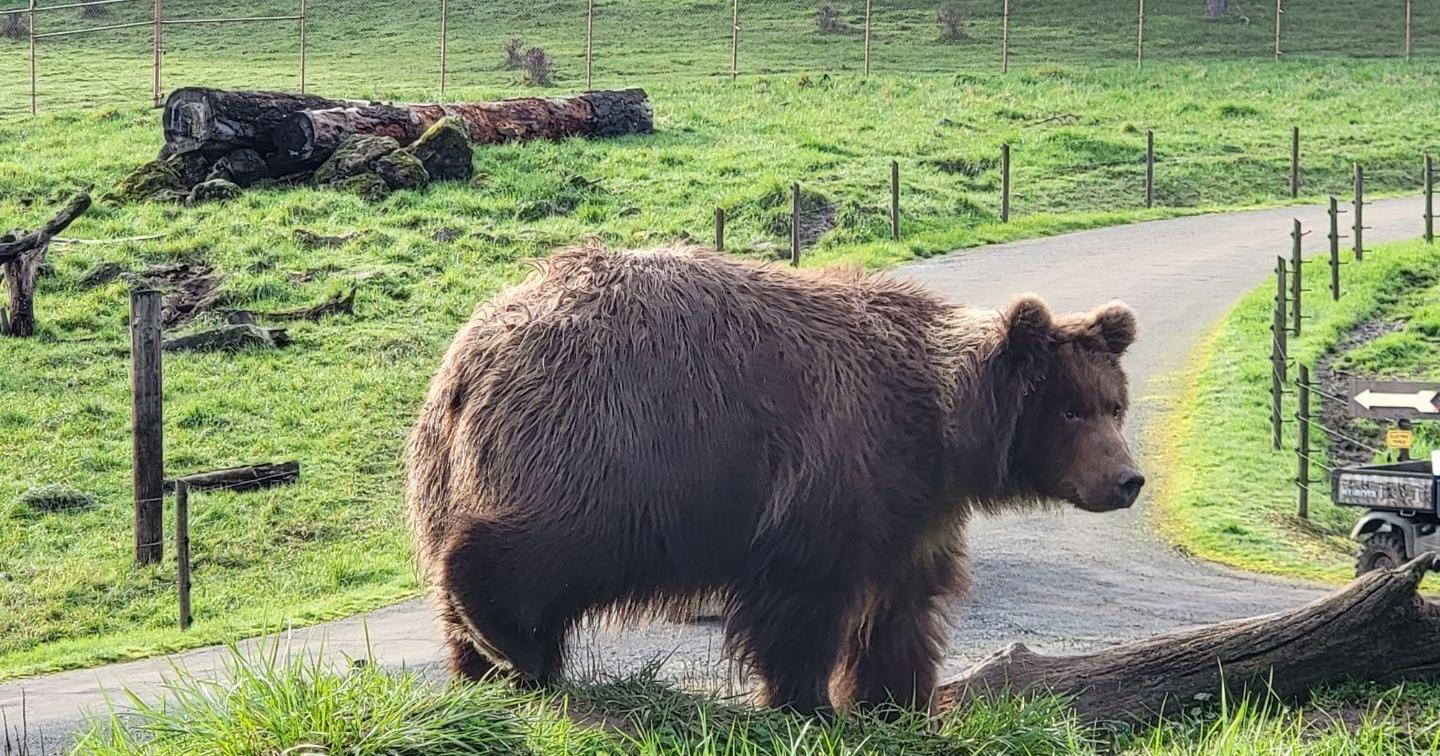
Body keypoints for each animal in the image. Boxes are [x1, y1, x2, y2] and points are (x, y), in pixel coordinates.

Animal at [404, 243, 1143, 715]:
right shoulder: (830, 473)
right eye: (1070, 408)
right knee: (536, 550)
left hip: (455, 464)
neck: (941, 426)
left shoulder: (914, 506)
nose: (1128, 479)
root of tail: (473, 353)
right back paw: (515, 648)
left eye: (1113, 405)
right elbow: (804, 605)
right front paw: (808, 704)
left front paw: (896, 700)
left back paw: (485, 668)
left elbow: (905, 606)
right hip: (611, 449)